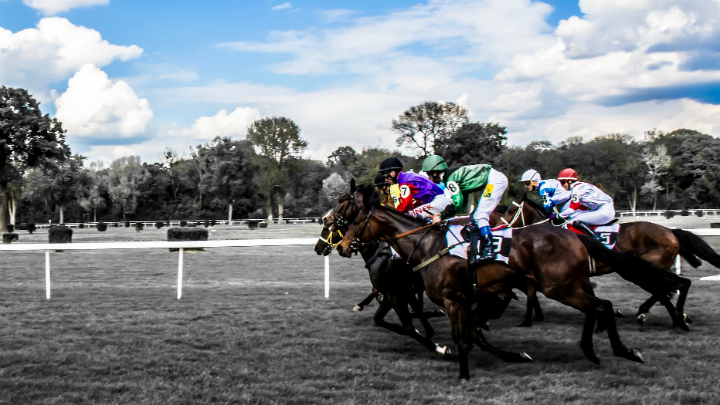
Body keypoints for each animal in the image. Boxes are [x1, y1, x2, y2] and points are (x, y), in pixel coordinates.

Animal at [332, 181, 647, 379]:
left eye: (354, 217)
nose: (340, 246)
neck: (426, 245)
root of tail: (575, 237)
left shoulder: (447, 298)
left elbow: (459, 336)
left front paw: (461, 370)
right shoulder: (449, 298)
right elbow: (473, 335)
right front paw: (513, 356)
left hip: (559, 287)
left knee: (601, 305)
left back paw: (624, 350)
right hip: (563, 285)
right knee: (599, 304)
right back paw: (594, 350)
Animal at [496, 193, 715, 329]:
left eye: (510, 211)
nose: (499, 226)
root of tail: (670, 231)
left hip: (643, 268)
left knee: (665, 288)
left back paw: (659, 314)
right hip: (651, 268)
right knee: (666, 289)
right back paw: (673, 317)